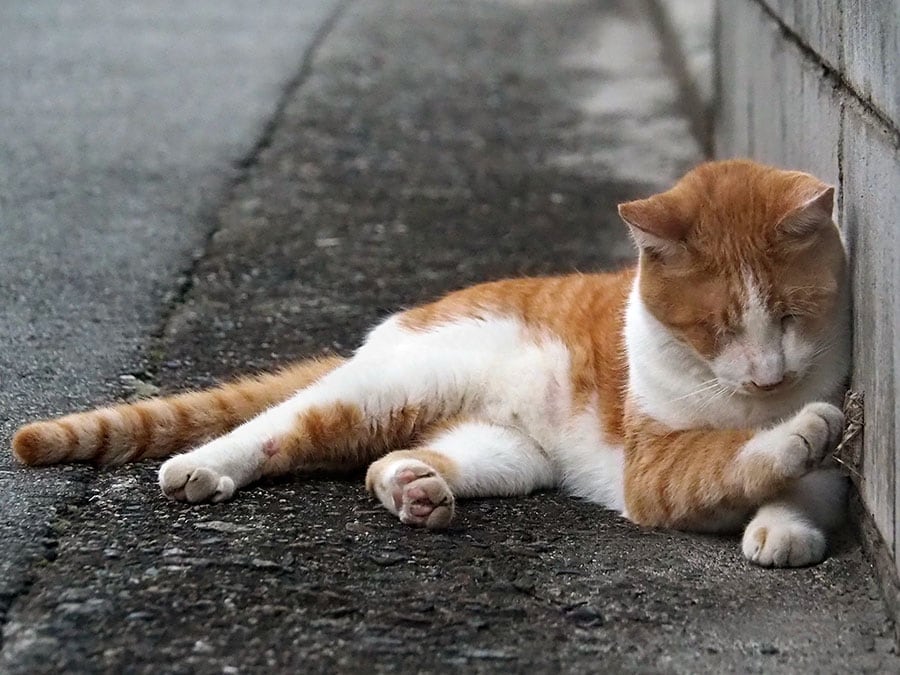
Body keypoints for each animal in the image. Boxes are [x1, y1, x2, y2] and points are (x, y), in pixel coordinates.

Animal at [10, 161, 848, 568]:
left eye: (789, 318)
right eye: (715, 327)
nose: (768, 375)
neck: (739, 398)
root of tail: (402, 319)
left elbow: (800, 480)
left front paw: (784, 523)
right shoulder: (654, 464)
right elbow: (727, 456)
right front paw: (786, 439)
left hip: (508, 452)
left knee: (389, 456)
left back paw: (412, 487)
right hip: (388, 386)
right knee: (283, 422)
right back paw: (203, 466)